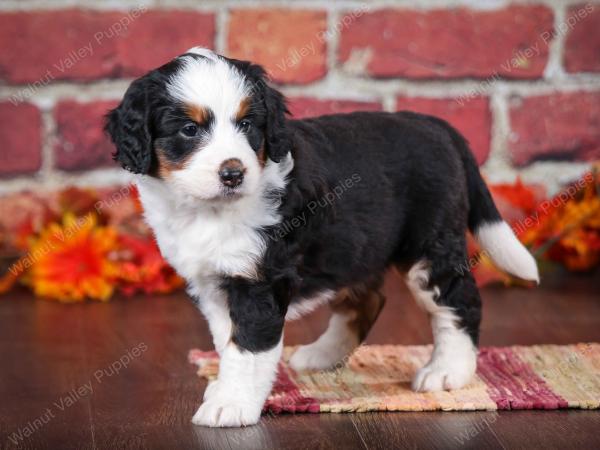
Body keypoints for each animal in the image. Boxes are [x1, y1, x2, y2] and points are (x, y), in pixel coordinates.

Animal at [104, 47, 540, 428]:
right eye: (189, 129)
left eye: (247, 124)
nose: (233, 173)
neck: (208, 211)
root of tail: (434, 124)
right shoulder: (212, 283)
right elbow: (228, 344)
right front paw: (225, 391)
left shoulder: (260, 281)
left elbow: (248, 349)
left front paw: (231, 405)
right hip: (356, 247)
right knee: (368, 300)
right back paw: (320, 356)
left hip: (429, 247)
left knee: (459, 300)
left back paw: (448, 371)